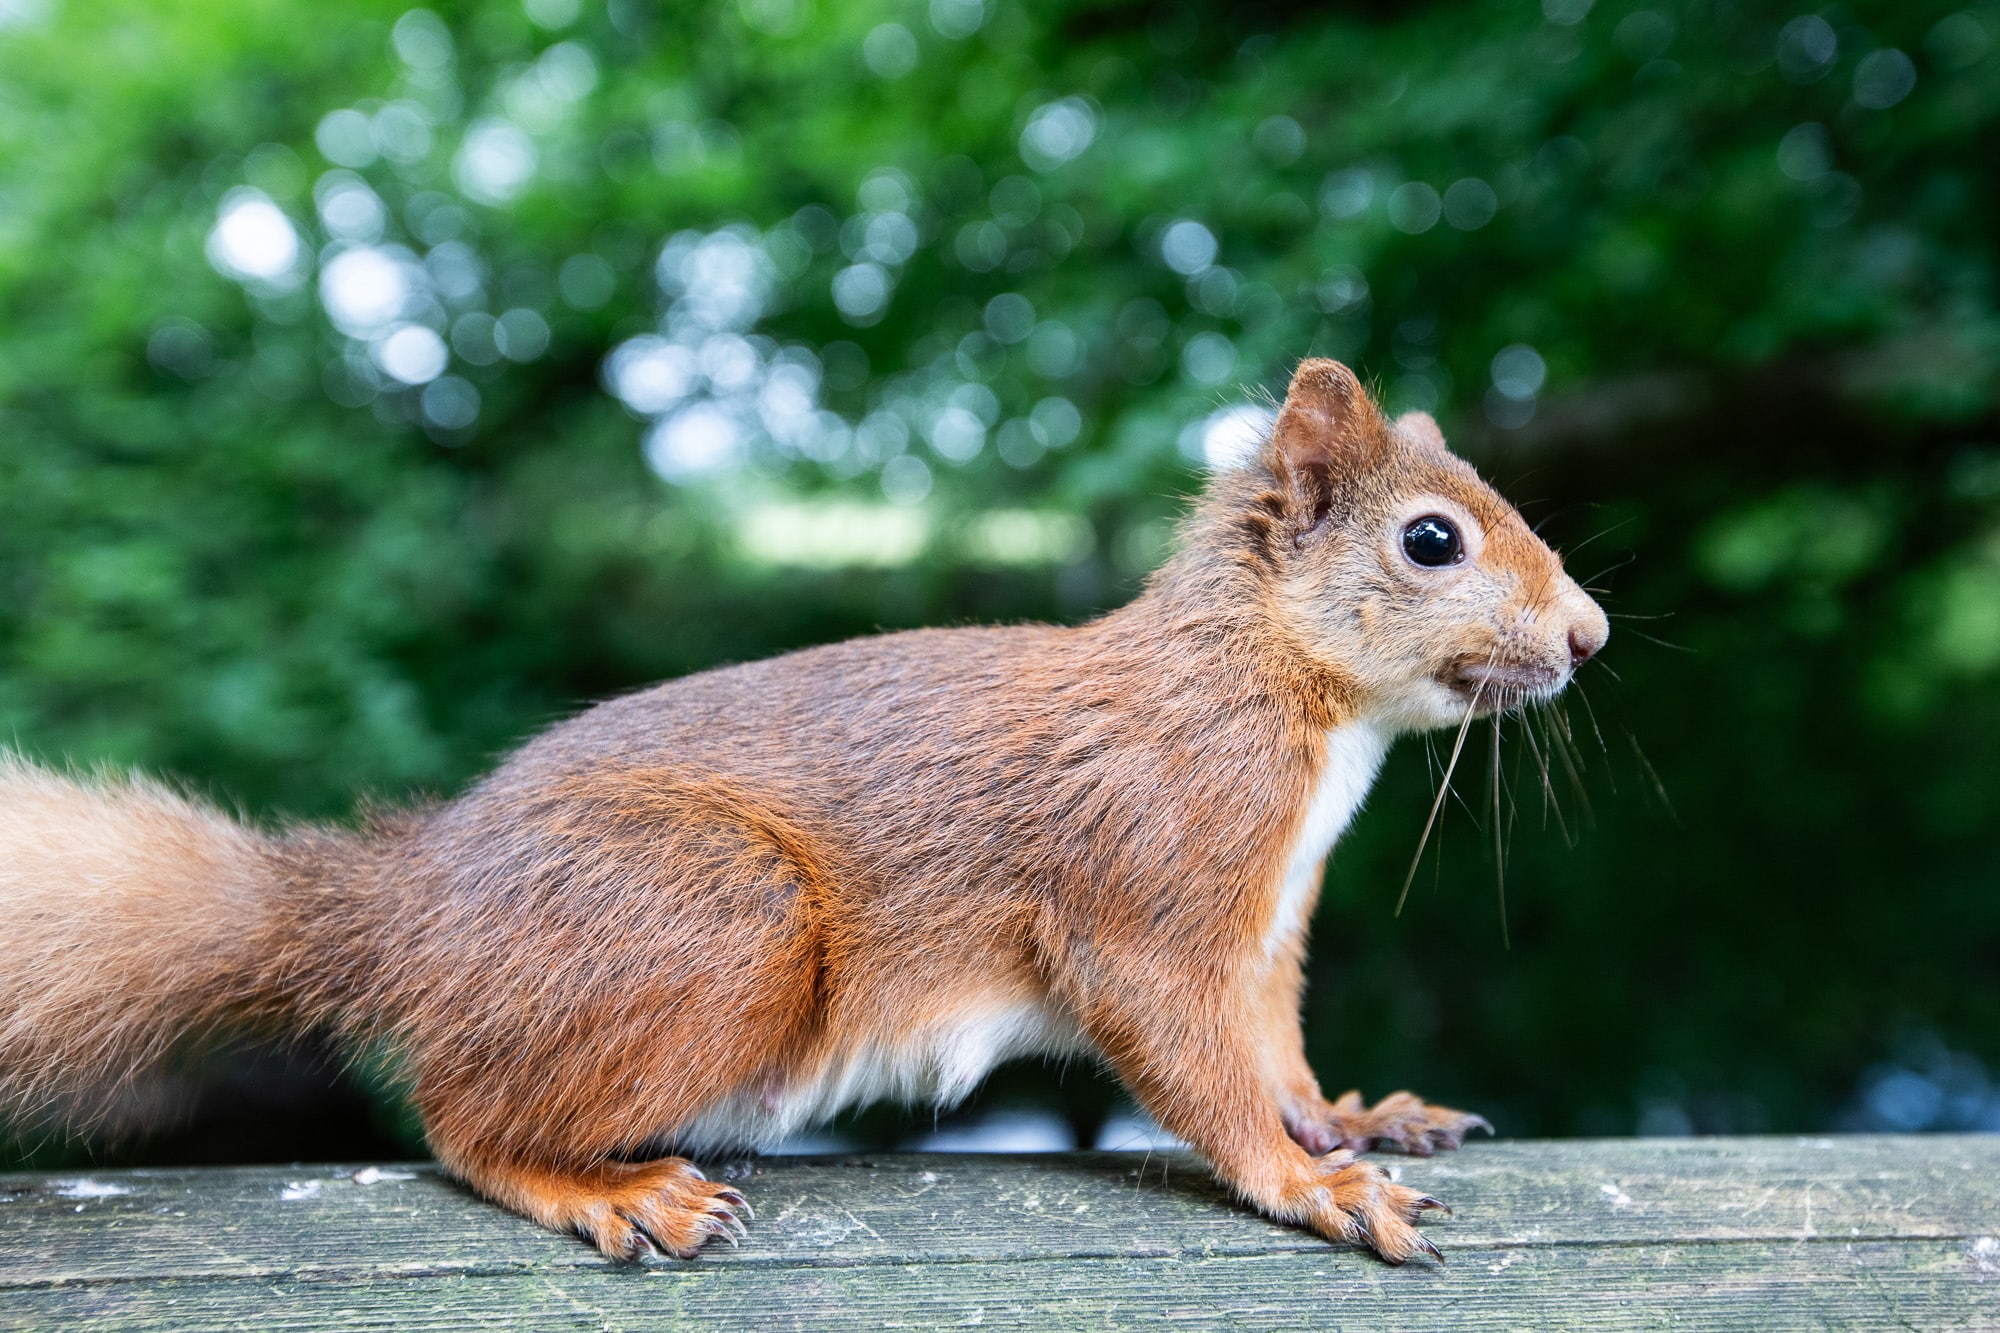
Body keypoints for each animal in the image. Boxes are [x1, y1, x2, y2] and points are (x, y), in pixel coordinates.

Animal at [0, 360, 1606, 1266]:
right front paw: (1310, 1186)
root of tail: (404, 911)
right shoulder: (1148, 890)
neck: (1287, 703)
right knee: (462, 1124)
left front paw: (1356, 1120)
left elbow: (1272, 1055)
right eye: (1432, 539)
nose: (1589, 635)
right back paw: (614, 1194)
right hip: (720, 917)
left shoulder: (1265, 934)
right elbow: (1195, 1067)